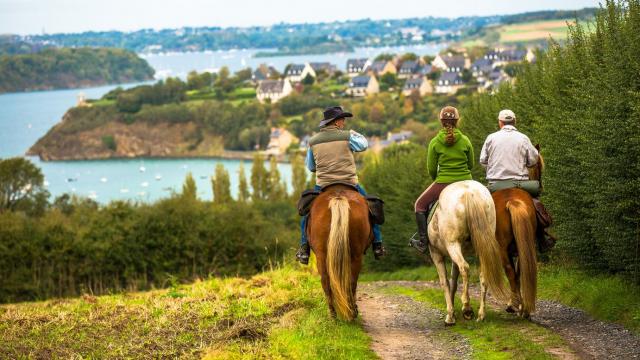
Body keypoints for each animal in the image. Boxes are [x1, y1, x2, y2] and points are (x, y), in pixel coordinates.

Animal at [308, 184, 372, 320]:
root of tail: (338, 198)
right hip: (355, 255)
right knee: (350, 281)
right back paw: (348, 313)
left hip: (323, 256)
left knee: (328, 281)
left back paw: (336, 314)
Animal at [428, 180, 508, 324]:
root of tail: (469, 192)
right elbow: (453, 282)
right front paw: (452, 312)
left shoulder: (435, 253)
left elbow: (445, 282)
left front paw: (450, 316)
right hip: (480, 246)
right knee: (483, 275)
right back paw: (481, 315)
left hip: (452, 244)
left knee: (465, 268)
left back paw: (467, 308)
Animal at [492, 148, 544, 316]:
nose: (540, 188)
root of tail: (512, 201)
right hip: (525, 244)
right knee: (521, 269)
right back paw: (524, 308)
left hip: (502, 248)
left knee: (510, 271)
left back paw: (513, 304)